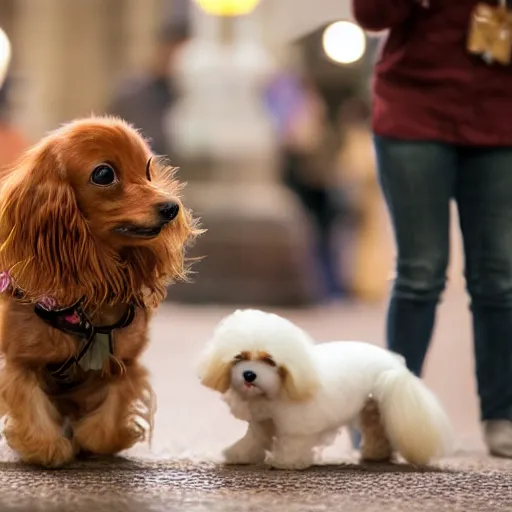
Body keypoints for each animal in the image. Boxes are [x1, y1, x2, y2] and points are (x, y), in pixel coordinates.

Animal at [0, 117, 200, 468]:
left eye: (147, 171)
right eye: (104, 174)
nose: (171, 207)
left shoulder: (125, 364)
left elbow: (104, 429)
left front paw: (88, 441)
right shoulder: (20, 365)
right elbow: (34, 419)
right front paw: (52, 448)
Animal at [198, 310, 454, 470]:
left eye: (269, 360)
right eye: (239, 357)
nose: (249, 374)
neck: (276, 390)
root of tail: (394, 364)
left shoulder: (296, 427)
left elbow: (292, 444)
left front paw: (287, 462)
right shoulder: (261, 423)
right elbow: (252, 440)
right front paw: (240, 456)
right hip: (371, 408)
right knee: (376, 431)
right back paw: (374, 454)